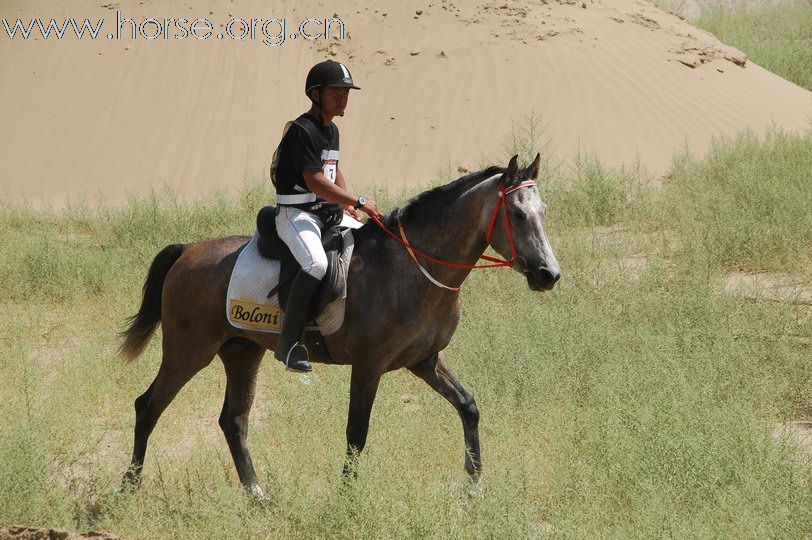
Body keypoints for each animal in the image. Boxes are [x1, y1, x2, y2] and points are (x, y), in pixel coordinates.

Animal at [119, 152, 560, 498]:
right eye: (517, 214)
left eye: (543, 213)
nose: (549, 274)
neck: (414, 267)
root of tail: (188, 250)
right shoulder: (368, 366)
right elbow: (356, 434)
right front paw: (346, 499)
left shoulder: (426, 360)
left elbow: (468, 407)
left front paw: (475, 485)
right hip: (189, 351)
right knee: (149, 405)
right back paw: (129, 486)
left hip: (242, 352)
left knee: (234, 421)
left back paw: (258, 496)